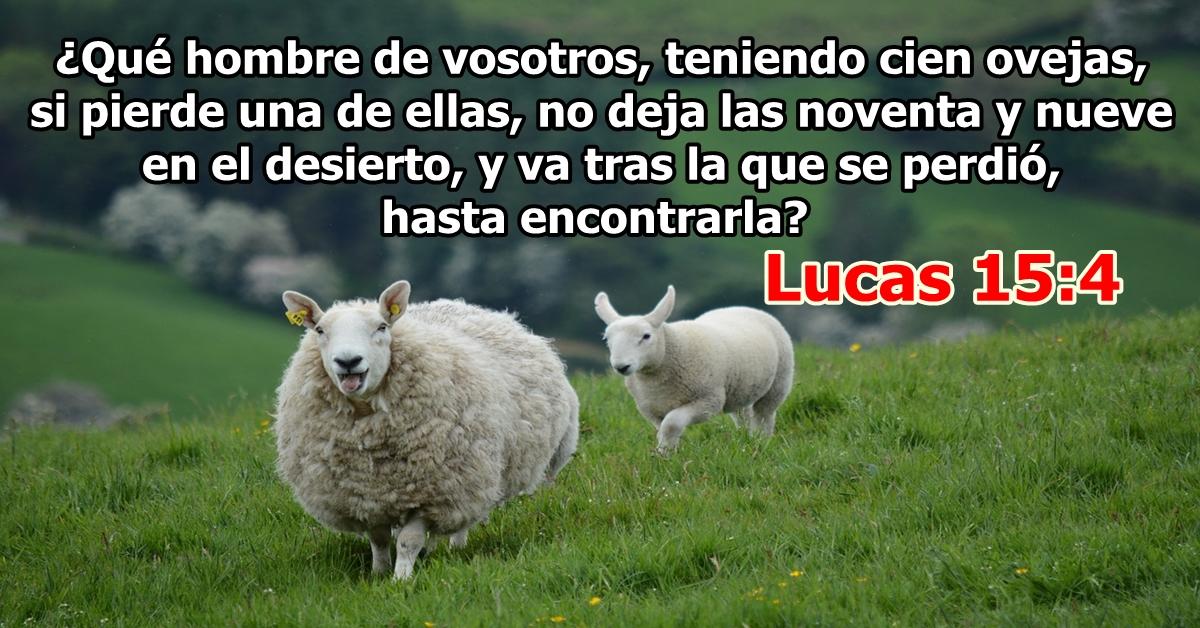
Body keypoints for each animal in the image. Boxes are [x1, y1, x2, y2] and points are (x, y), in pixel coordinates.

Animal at [274, 280, 579, 581]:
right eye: (320, 330)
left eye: (381, 327)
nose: (348, 362)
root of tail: (469, 307)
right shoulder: (366, 496)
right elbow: (379, 540)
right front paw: (378, 574)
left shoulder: (432, 492)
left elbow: (408, 541)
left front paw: (401, 579)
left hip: (471, 474)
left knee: (463, 517)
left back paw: (455, 547)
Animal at [594, 285, 794, 454]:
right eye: (607, 339)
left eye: (646, 336)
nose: (621, 366)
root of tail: (742, 307)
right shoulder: (651, 409)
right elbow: (663, 429)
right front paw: (667, 453)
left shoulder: (708, 400)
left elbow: (672, 423)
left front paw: (664, 454)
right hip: (740, 388)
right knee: (742, 414)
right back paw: (745, 439)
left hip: (779, 381)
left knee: (764, 415)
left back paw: (760, 441)